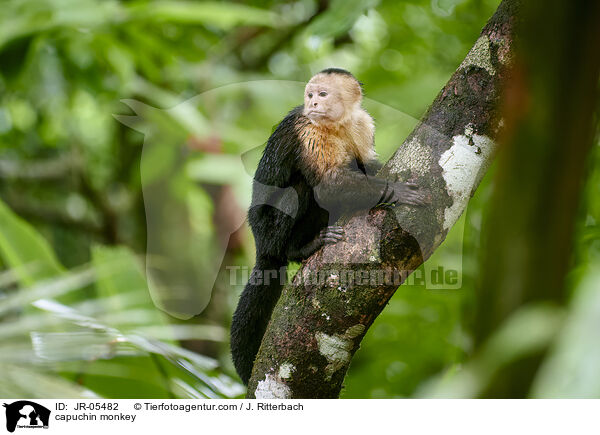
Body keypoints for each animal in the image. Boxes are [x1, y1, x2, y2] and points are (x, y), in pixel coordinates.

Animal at [230, 68, 426, 384]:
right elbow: (328, 184)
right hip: (266, 228)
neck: (338, 123)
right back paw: (300, 248)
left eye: (322, 94)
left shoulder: (362, 123)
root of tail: (262, 245)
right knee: (298, 191)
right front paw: (395, 191)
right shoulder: (308, 129)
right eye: (310, 95)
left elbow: (365, 164)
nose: (313, 104)